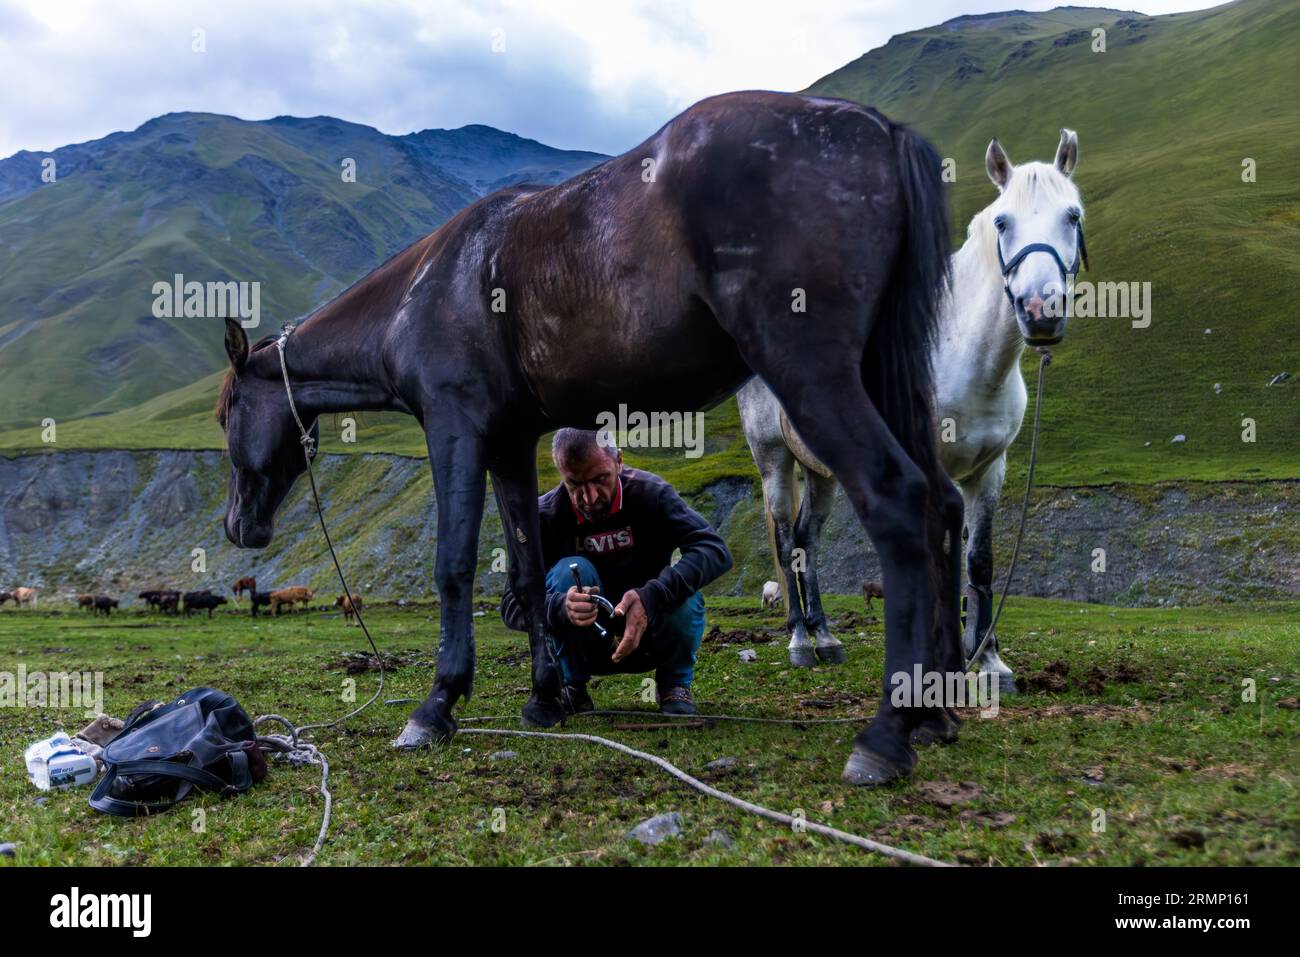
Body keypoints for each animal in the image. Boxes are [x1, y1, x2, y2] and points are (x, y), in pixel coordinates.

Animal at [218, 89, 961, 780]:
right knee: (944, 504)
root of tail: (876, 128)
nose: (236, 526)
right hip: (883, 377)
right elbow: (525, 571)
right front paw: (545, 697)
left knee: (898, 498)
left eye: (227, 413)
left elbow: (454, 564)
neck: (424, 292)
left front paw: (436, 705)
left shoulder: (456, 431)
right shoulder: (510, 444)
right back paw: (937, 709)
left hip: (811, 376)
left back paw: (886, 734)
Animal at [743, 130, 1086, 691]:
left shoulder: (990, 471)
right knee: (782, 533)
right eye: (1002, 222)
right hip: (773, 457)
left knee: (805, 539)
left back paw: (825, 637)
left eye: (1072, 215)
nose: (1041, 311)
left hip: (822, 471)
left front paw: (988, 662)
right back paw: (799, 640)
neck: (959, 353)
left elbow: (979, 560)